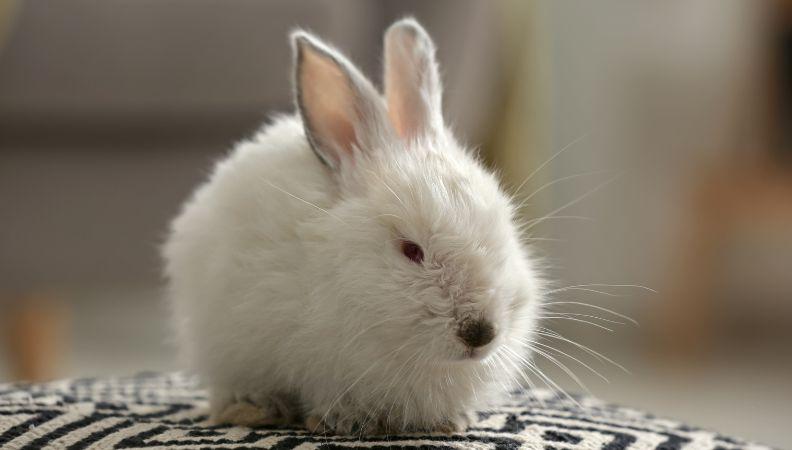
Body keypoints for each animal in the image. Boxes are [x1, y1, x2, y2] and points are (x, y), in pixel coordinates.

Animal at [163, 18, 543, 435]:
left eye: (504, 233)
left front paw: (453, 421)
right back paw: (254, 409)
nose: (481, 333)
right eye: (411, 250)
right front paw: (347, 419)